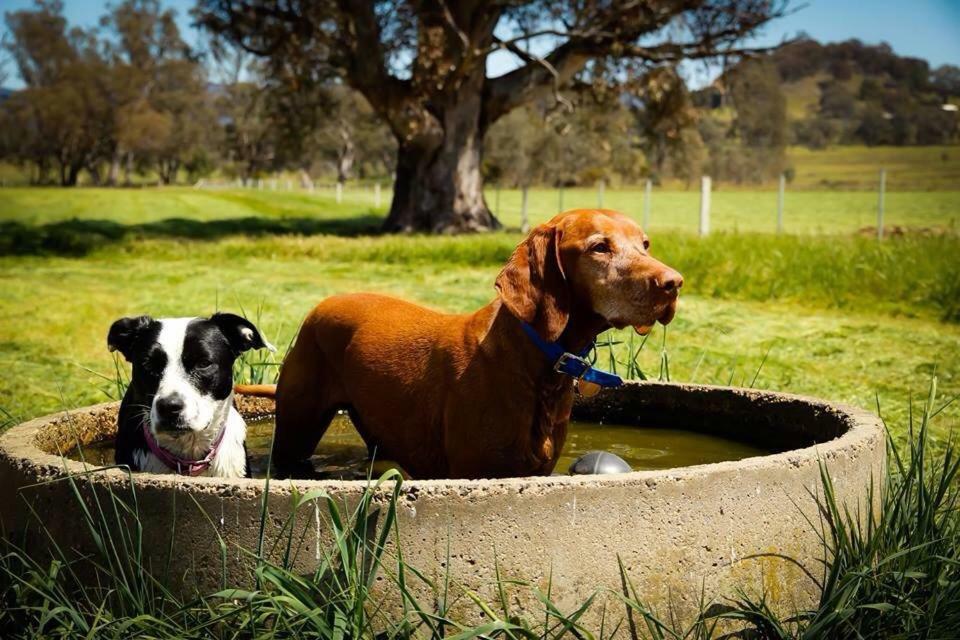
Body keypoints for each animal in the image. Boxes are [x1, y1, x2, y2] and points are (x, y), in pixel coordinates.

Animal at [236, 208, 680, 478]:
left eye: (645, 245)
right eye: (599, 247)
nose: (674, 283)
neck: (536, 361)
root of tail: (320, 306)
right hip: (296, 434)